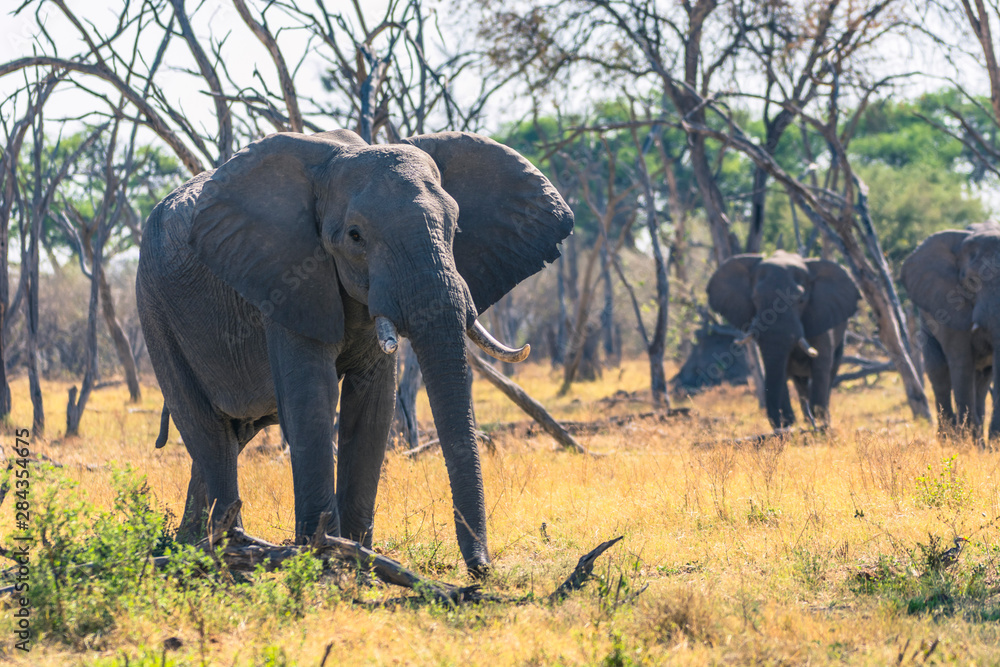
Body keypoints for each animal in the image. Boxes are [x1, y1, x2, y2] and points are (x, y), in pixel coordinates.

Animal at [135, 129, 572, 576]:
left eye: (455, 227)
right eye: (355, 236)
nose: (482, 569)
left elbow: (373, 402)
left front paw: (359, 555)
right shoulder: (284, 278)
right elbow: (313, 396)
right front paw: (324, 557)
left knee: (231, 434)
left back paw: (193, 542)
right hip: (154, 308)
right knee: (207, 431)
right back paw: (225, 550)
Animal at [704, 249, 860, 428]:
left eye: (801, 300)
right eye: (755, 298)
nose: (780, 426)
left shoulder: (821, 314)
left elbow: (821, 365)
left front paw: (821, 424)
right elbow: (780, 369)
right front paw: (790, 424)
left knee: (830, 372)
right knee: (800, 384)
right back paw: (807, 420)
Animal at [900, 224, 1000, 444]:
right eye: (971, 281)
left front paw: (988, 445)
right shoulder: (948, 304)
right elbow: (961, 362)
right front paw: (967, 444)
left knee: (982, 379)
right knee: (939, 373)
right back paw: (948, 439)